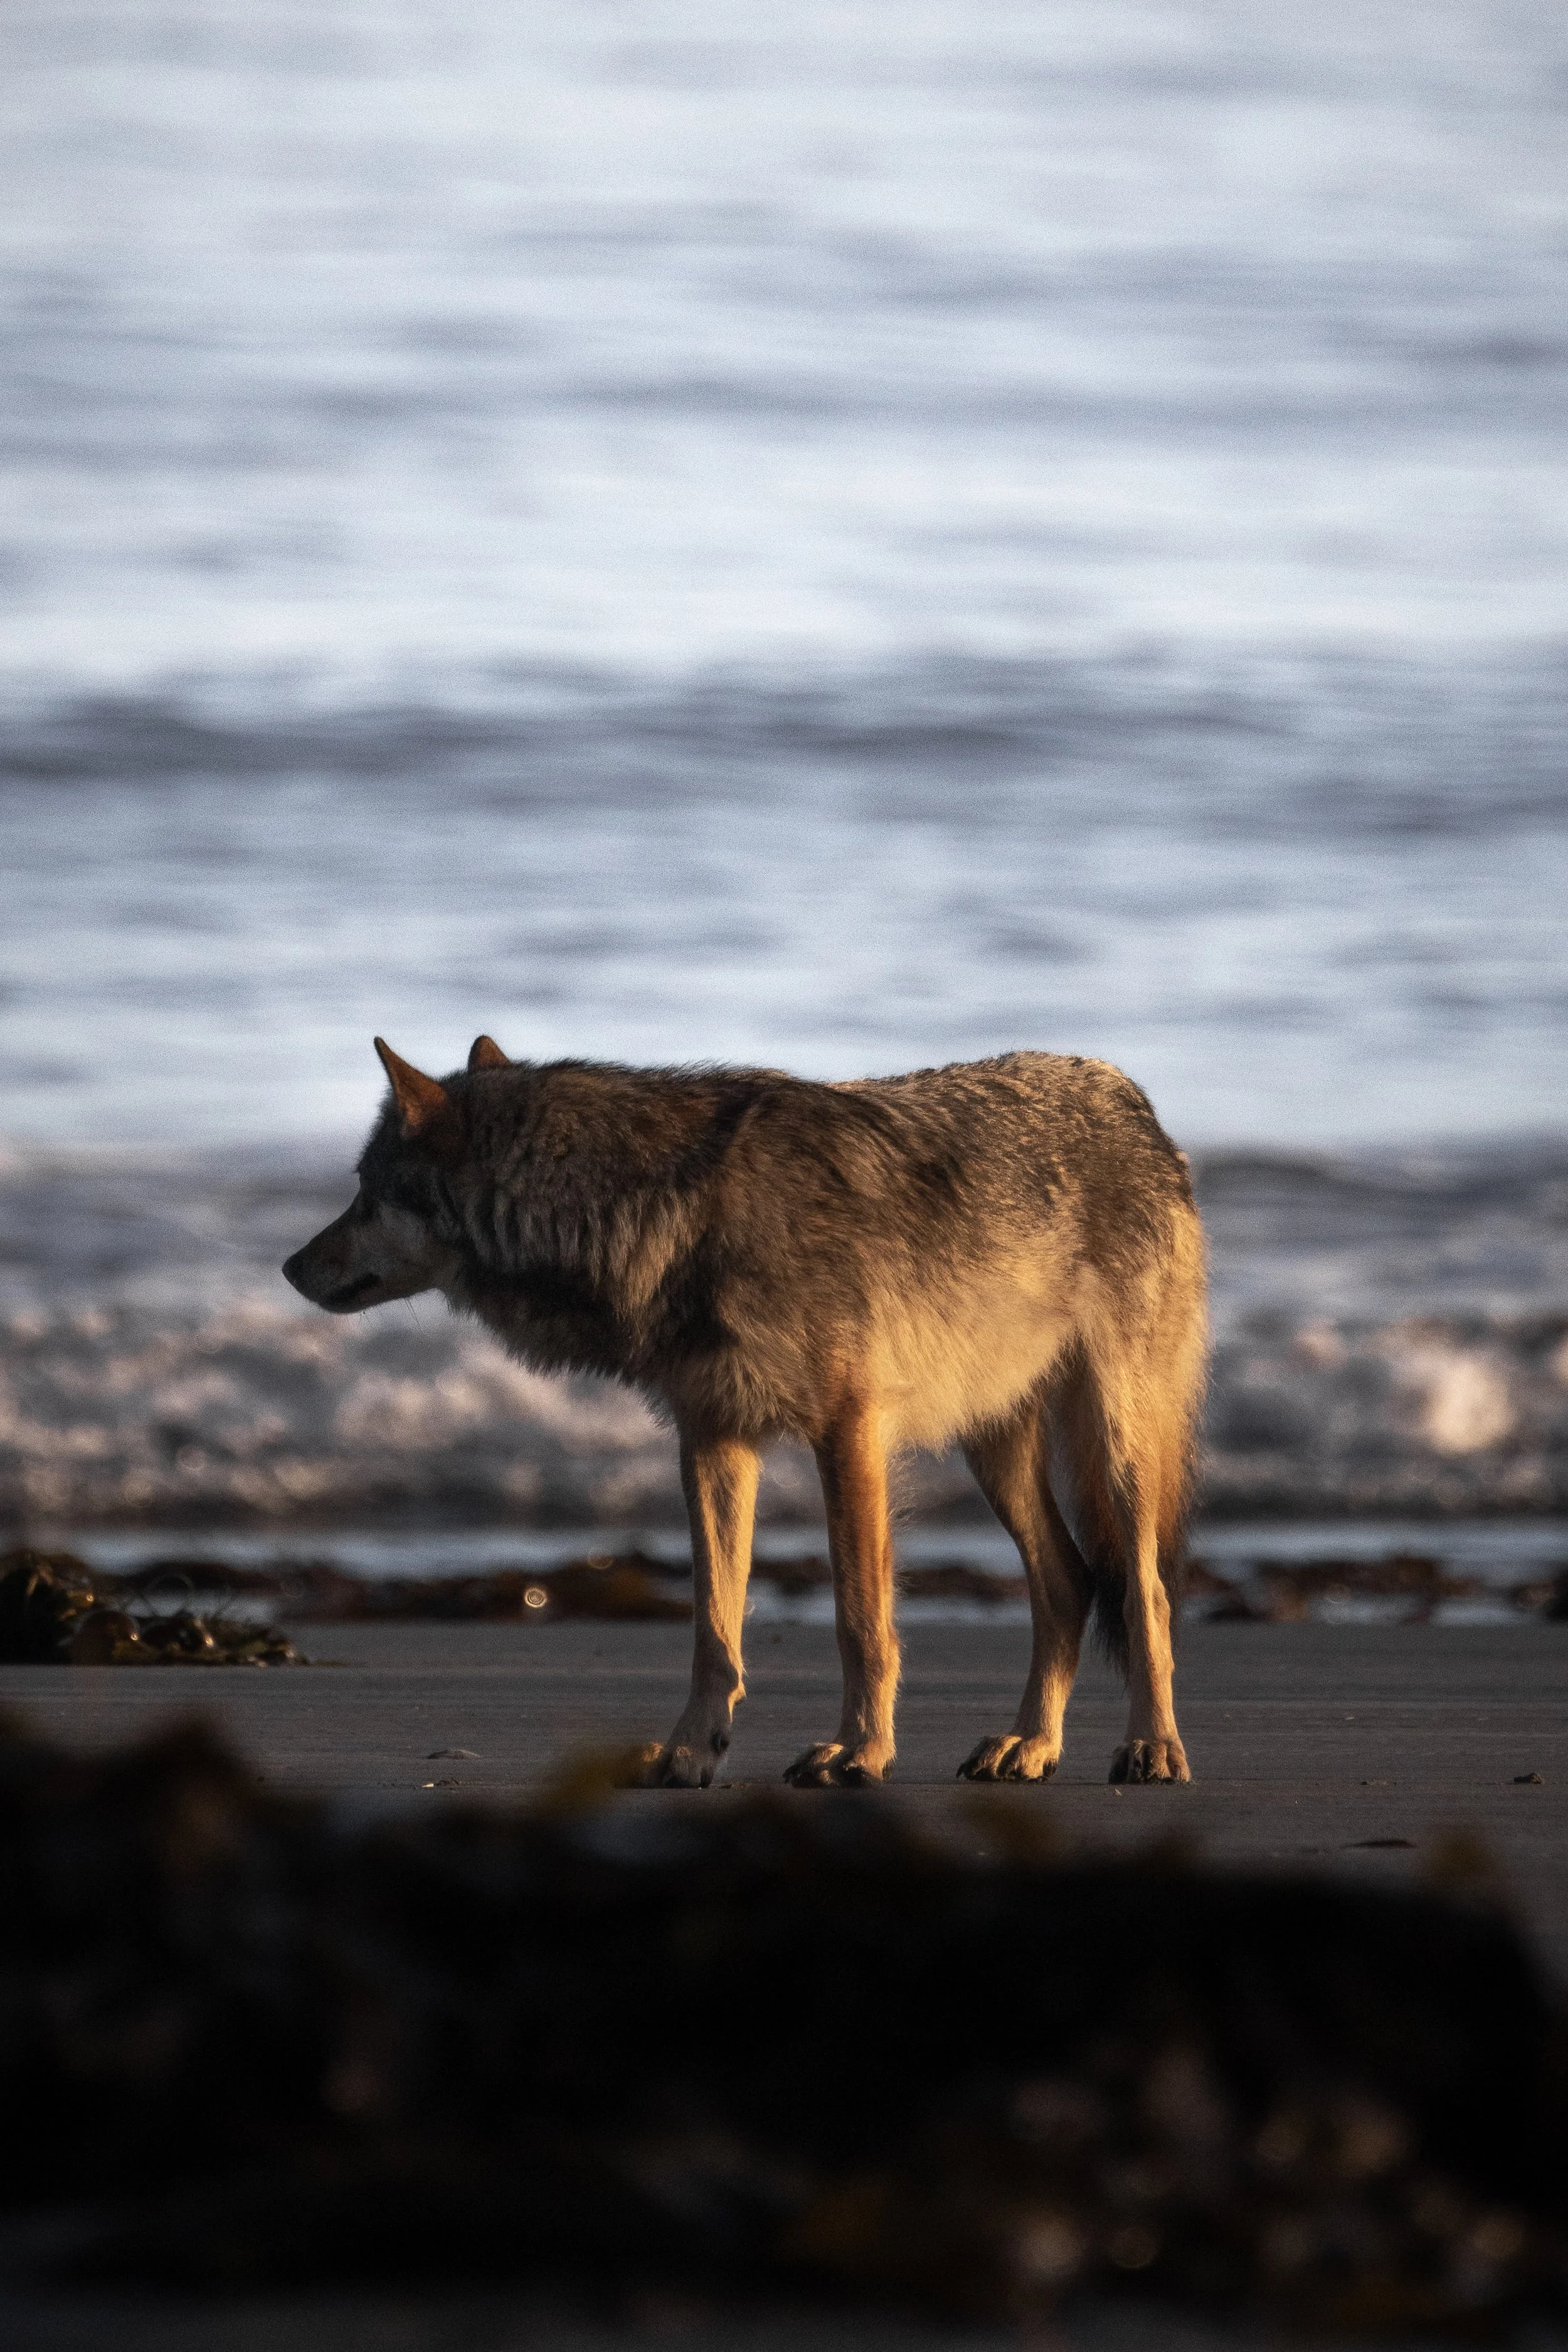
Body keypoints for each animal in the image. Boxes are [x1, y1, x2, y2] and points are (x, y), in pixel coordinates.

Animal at [283, 1038, 1207, 1789]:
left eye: (364, 1194)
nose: (289, 1266)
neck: (668, 1214)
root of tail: (1131, 1097)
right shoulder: (713, 1438)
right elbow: (713, 1629)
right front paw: (690, 1753)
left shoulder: (848, 1431)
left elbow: (859, 1619)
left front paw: (859, 1752)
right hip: (994, 1446)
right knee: (1068, 1583)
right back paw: (1030, 1747)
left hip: (1117, 1442)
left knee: (1148, 1594)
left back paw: (1153, 1749)